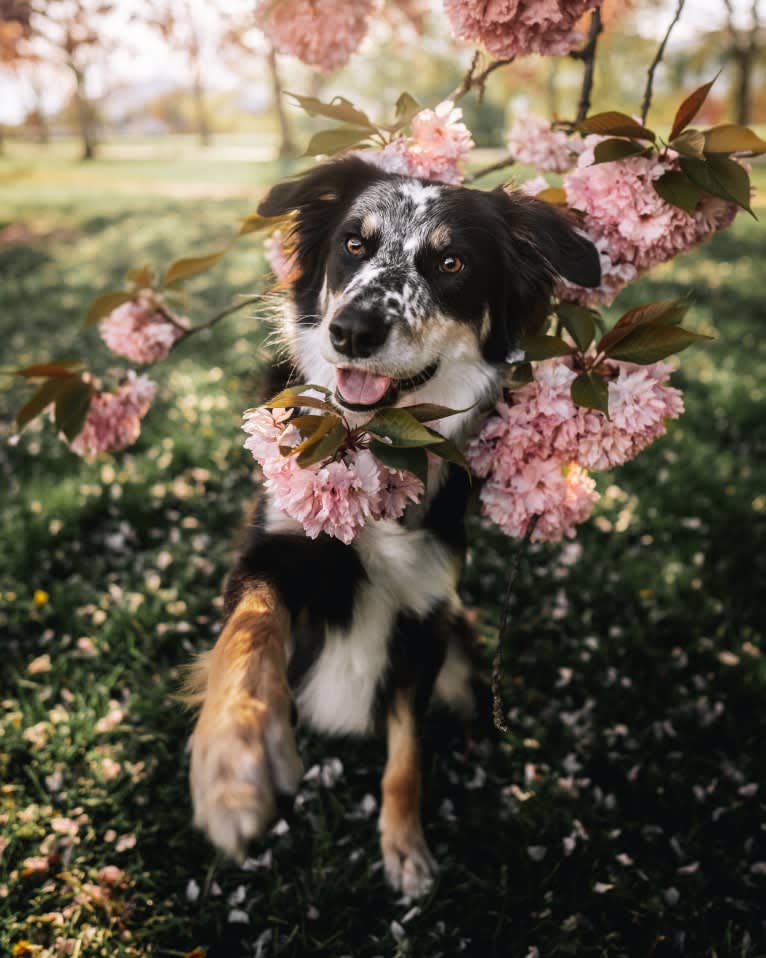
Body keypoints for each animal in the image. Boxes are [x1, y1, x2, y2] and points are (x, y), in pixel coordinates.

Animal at [186, 158, 600, 900]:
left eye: (451, 262)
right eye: (354, 244)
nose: (352, 331)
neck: (376, 446)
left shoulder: (425, 613)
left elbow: (407, 750)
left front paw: (405, 847)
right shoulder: (268, 554)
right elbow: (248, 634)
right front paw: (234, 763)